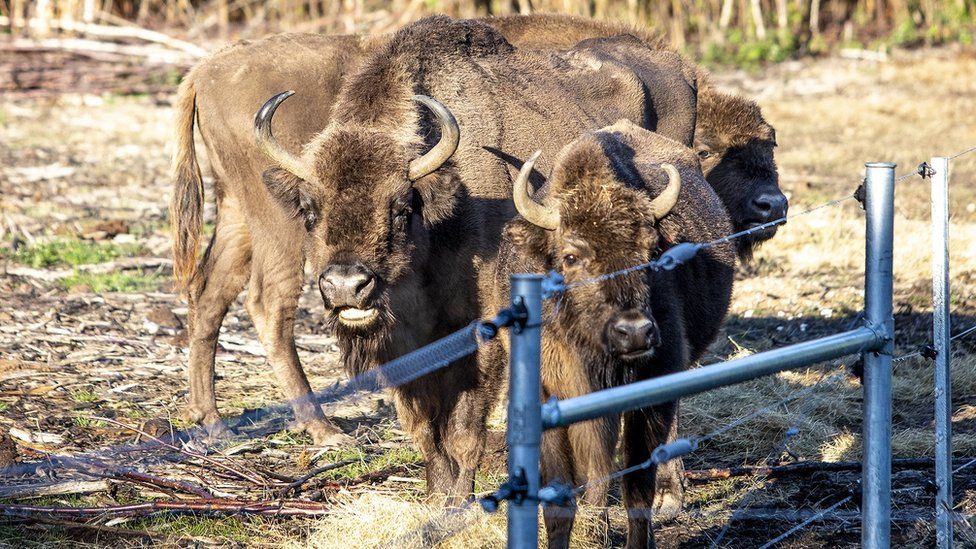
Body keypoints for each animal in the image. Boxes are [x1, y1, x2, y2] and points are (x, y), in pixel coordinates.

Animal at [170, 17, 700, 504]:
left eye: (402, 206)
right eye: (310, 208)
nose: (346, 286)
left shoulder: (483, 324)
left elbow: (464, 426)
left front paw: (460, 500)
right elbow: (423, 425)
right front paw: (438, 495)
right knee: (244, 299)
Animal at [480, 119, 732, 544]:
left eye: (651, 252)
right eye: (571, 255)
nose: (636, 332)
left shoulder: (651, 389)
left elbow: (635, 487)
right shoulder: (551, 396)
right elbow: (561, 494)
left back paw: (668, 497)